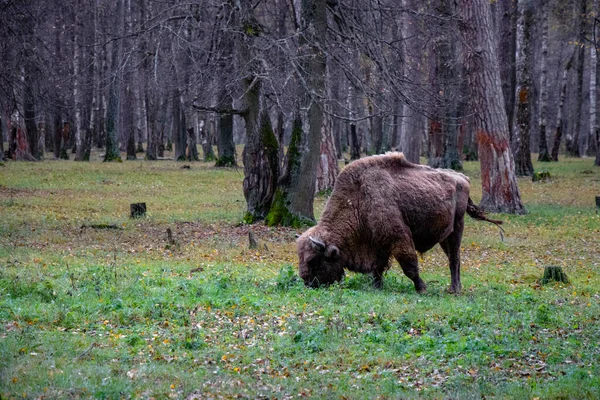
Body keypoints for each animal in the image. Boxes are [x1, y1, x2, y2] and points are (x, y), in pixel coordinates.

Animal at [296, 153, 502, 294]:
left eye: (313, 260)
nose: (308, 283)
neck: (358, 201)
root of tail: (463, 178)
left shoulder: (398, 238)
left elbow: (409, 266)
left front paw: (422, 288)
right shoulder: (378, 244)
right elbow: (378, 269)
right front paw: (377, 287)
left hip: (457, 228)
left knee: (454, 259)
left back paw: (454, 289)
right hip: (445, 235)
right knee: (454, 258)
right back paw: (455, 288)